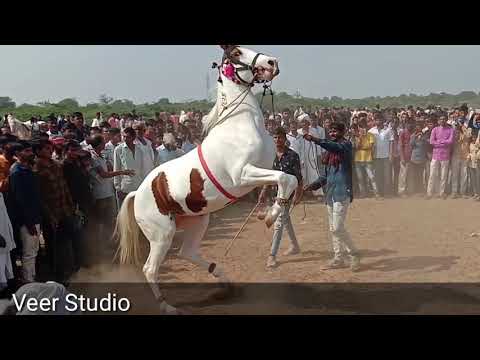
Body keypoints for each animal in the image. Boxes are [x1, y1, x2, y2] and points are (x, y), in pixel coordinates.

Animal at [114, 45, 298, 316]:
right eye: (236, 52)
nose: (272, 62)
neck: (239, 124)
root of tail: (137, 194)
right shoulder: (243, 174)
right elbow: (286, 178)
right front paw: (271, 216)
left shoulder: (265, 169)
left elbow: (287, 180)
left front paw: (268, 212)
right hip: (162, 233)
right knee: (150, 269)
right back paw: (168, 306)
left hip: (198, 221)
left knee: (187, 253)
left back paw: (224, 280)